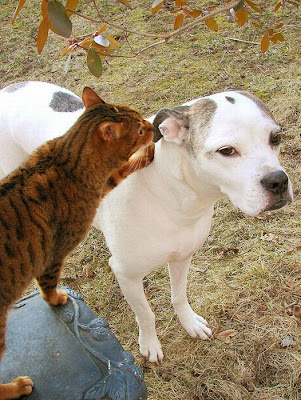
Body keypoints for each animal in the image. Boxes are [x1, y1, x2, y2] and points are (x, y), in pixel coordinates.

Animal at [0, 81, 292, 362]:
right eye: (227, 150)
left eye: (276, 138)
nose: (278, 181)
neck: (173, 195)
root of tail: (10, 88)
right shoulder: (126, 275)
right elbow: (146, 314)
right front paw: (150, 345)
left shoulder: (183, 256)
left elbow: (179, 296)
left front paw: (189, 324)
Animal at [0, 86, 154, 398]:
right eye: (140, 129)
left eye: (142, 122)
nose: (153, 126)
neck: (64, 156)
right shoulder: (53, 254)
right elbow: (48, 284)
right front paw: (57, 298)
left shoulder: (100, 185)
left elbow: (119, 171)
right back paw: (17, 387)